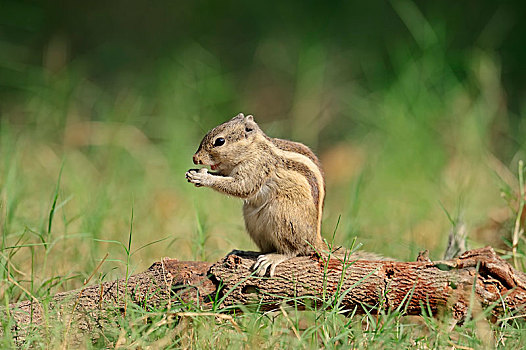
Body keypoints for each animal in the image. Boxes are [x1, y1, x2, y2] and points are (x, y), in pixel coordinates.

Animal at [186, 113, 326, 276]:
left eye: (219, 141)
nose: (195, 158)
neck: (253, 149)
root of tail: (315, 240)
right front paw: (195, 172)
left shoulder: (257, 168)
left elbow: (242, 187)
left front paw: (203, 177)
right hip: (253, 222)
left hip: (282, 215)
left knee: (294, 250)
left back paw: (271, 258)